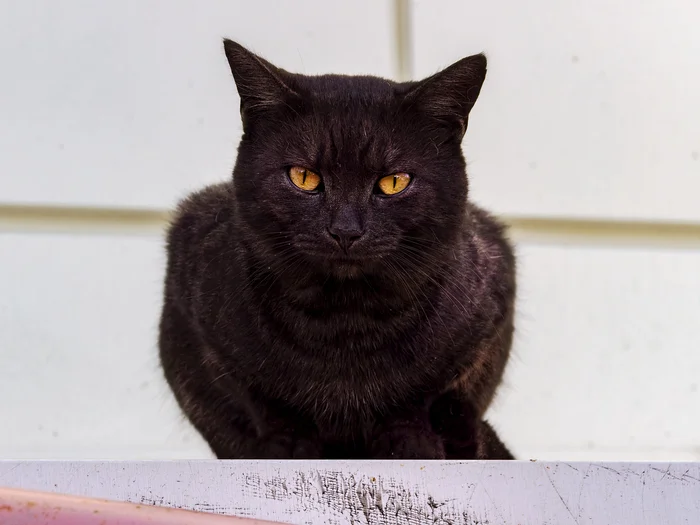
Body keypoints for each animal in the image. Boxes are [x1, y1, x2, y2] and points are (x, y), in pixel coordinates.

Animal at [161, 40, 516, 458]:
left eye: (394, 182)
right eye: (303, 177)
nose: (345, 230)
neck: (345, 325)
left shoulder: (492, 299)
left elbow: (423, 396)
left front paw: (410, 444)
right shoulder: (195, 314)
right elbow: (262, 399)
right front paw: (289, 448)